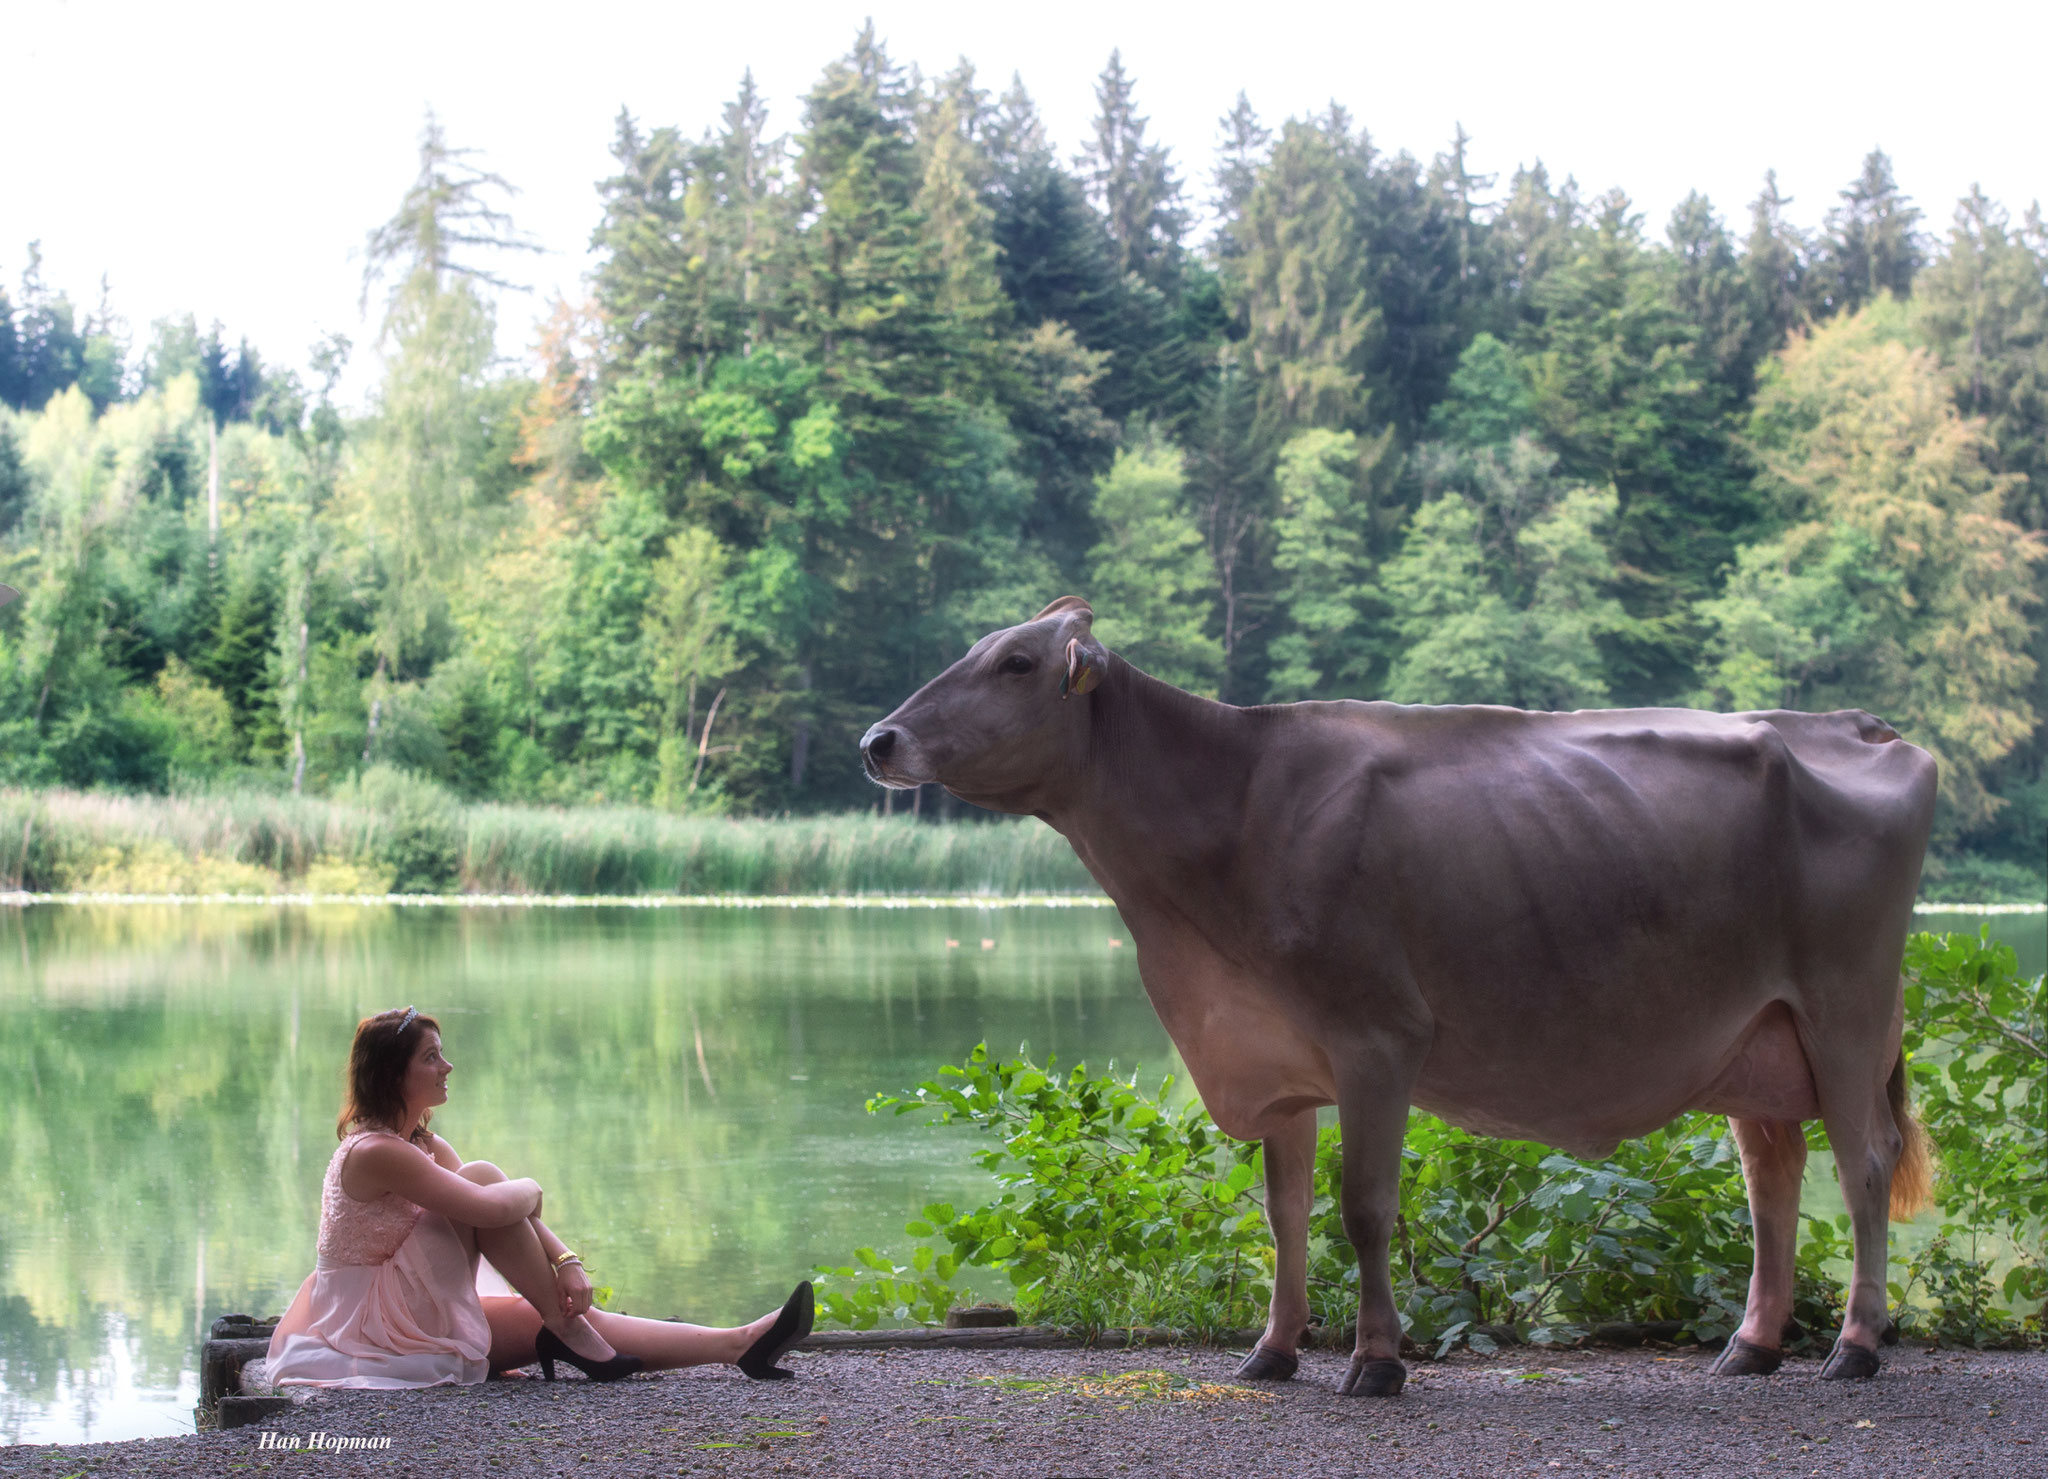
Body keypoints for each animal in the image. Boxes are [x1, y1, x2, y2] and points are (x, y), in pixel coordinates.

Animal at [860, 594, 1933, 1384]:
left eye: (1015, 664)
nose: (879, 739)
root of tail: (1862, 725)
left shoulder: (1377, 1034)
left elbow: (1364, 1205)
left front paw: (1375, 1361)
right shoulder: (1274, 1048)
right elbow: (1285, 1211)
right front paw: (1272, 1350)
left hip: (1845, 1010)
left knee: (1863, 1162)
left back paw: (1853, 1348)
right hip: (1759, 1035)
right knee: (1773, 1177)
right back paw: (1751, 1347)